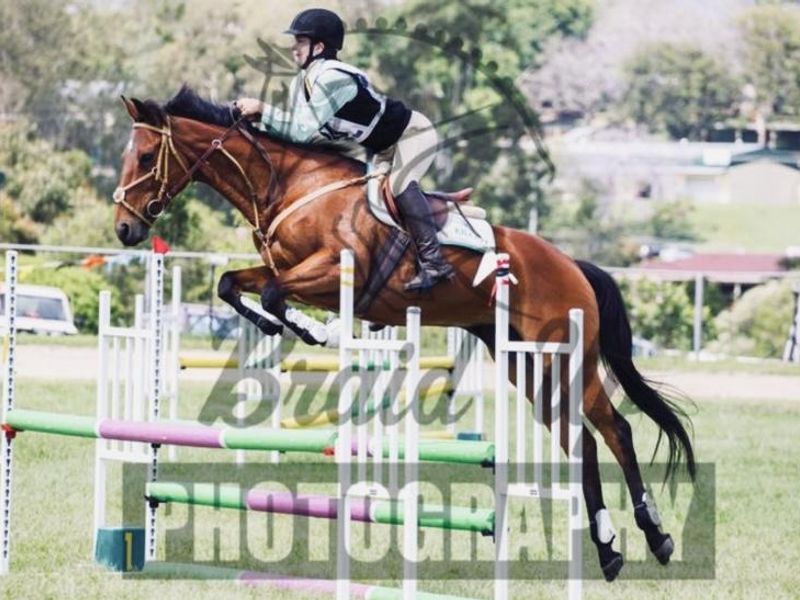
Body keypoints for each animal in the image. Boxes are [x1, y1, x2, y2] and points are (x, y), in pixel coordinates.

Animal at [113, 86, 695, 581]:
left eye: (145, 156)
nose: (124, 228)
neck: (287, 184)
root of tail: (572, 264)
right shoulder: (282, 268)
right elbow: (232, 283)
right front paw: (272, 324)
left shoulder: (335, 272)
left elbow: (277, 294)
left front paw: (316, 330)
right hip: (526, 365)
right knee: (591, 437)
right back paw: (622, 548)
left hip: (561, 360)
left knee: (610, 432)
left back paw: (646, 539)